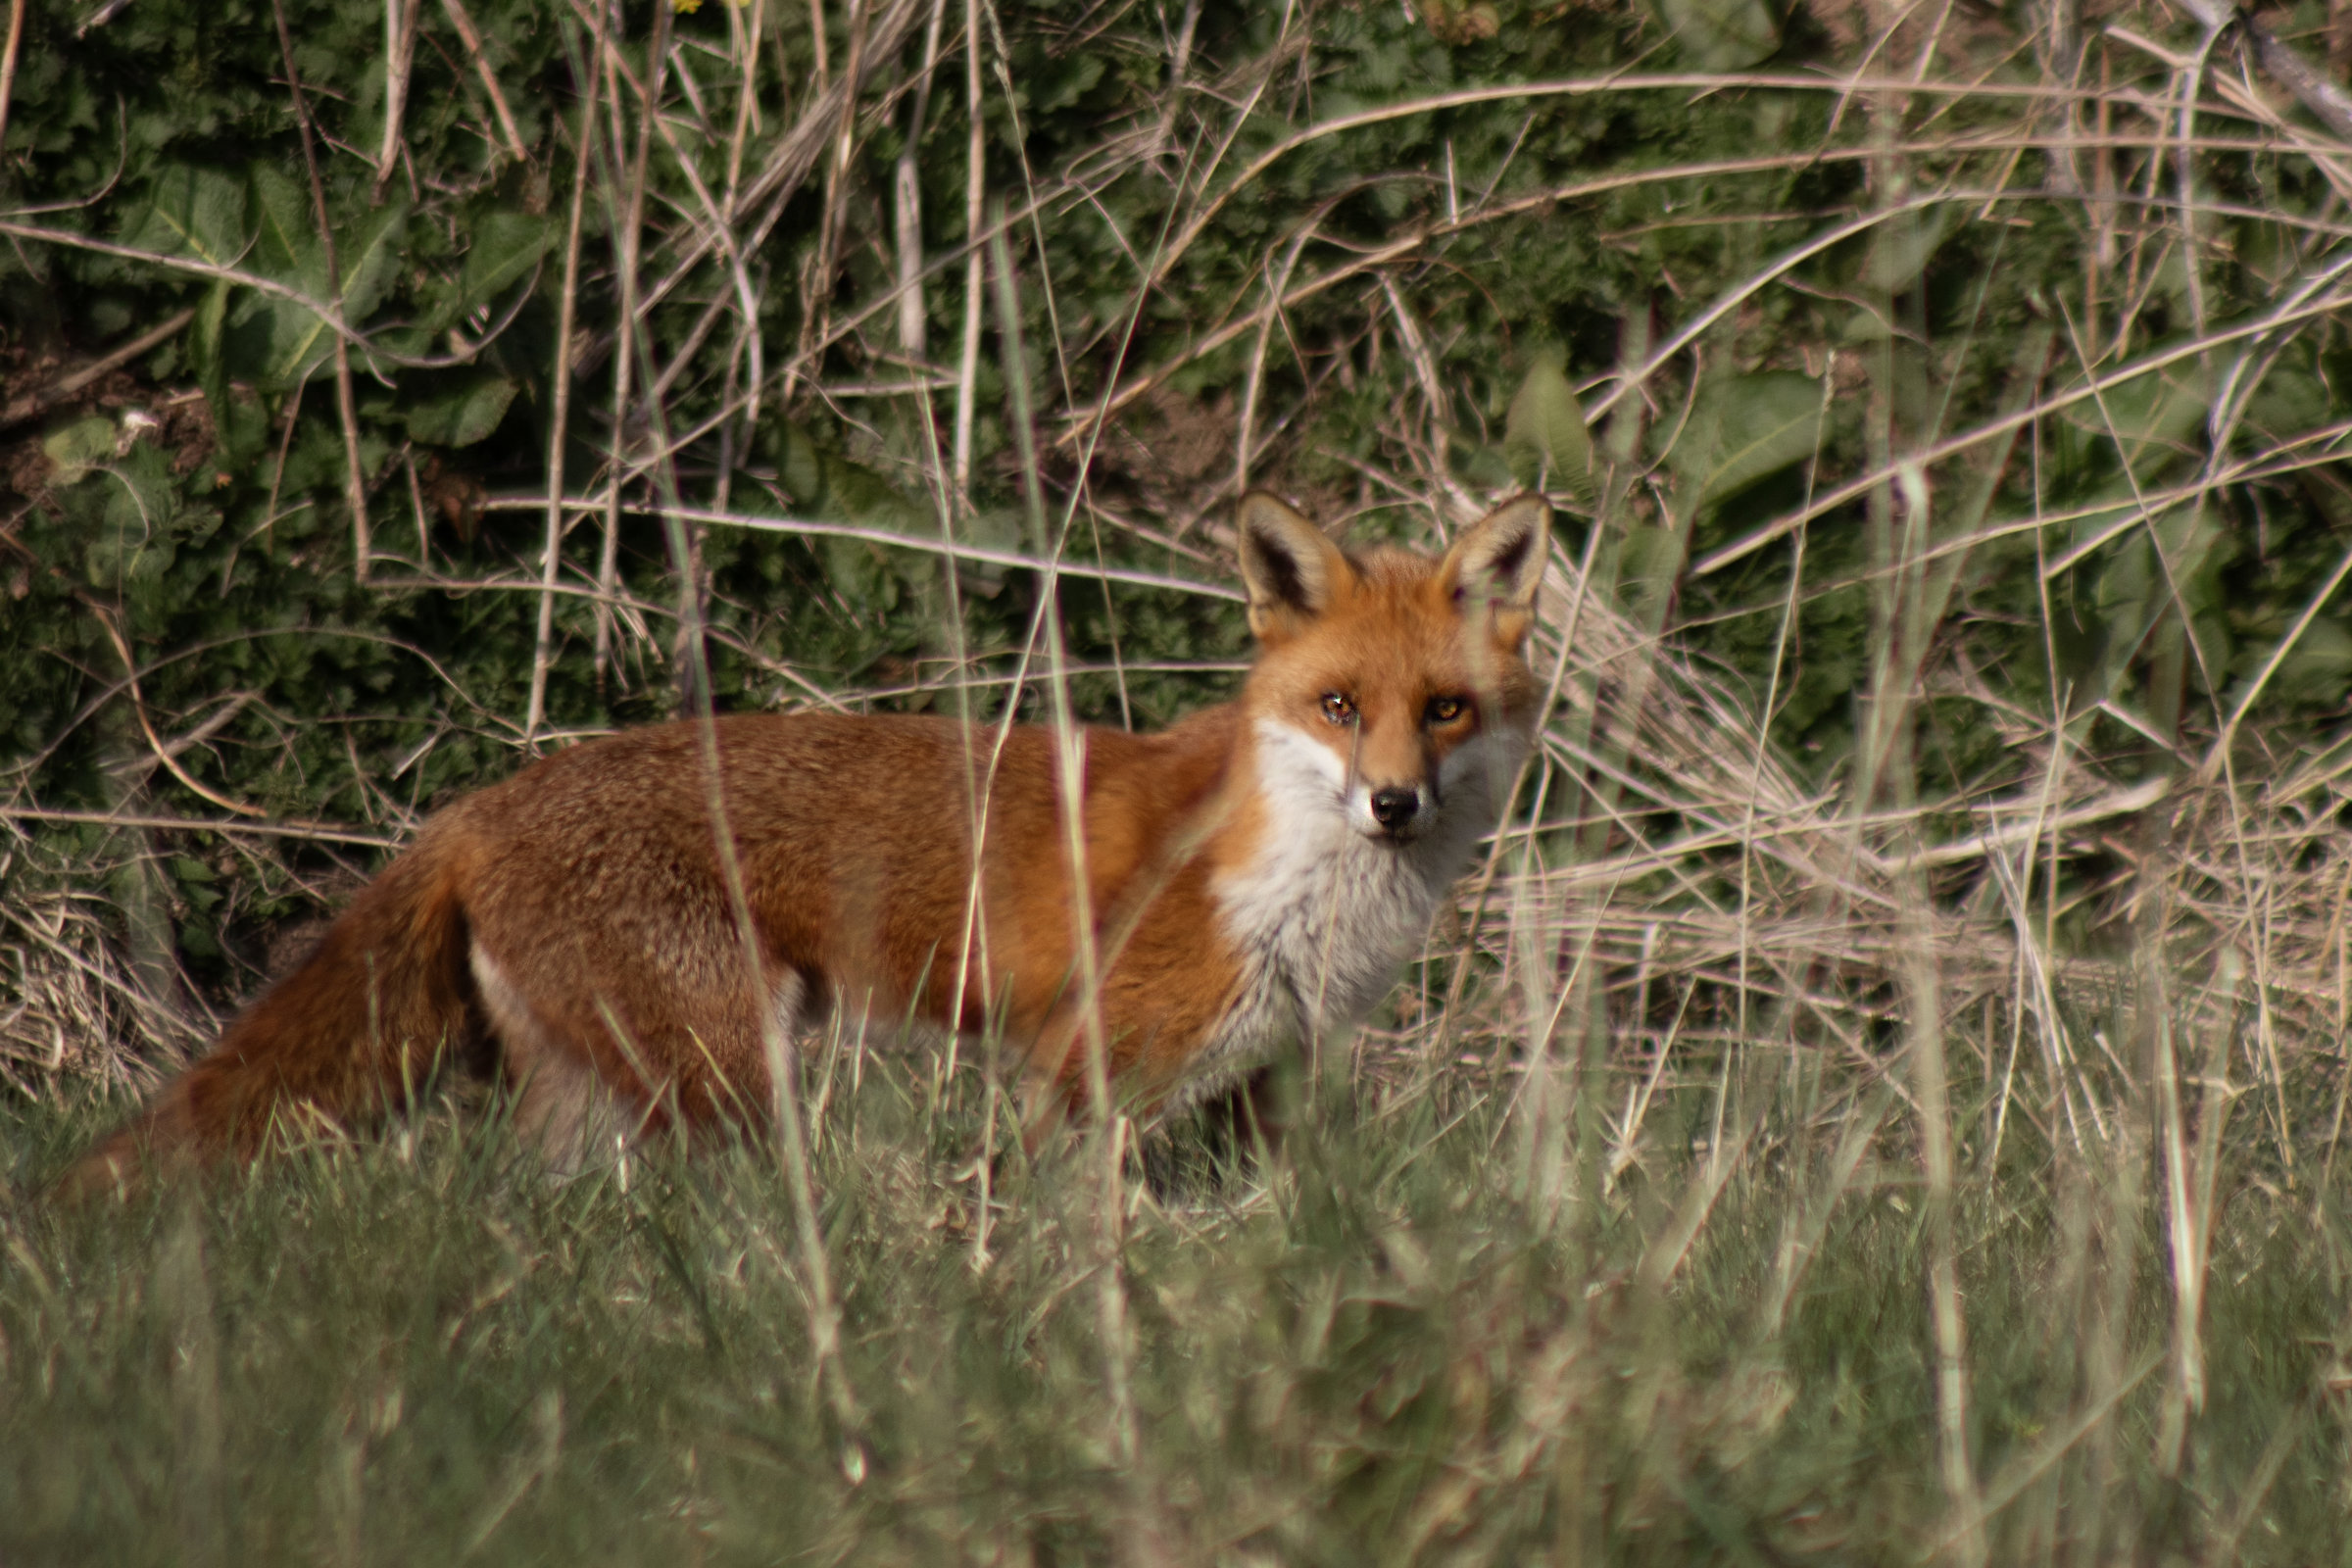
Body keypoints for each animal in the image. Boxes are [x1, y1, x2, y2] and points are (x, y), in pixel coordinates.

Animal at [54, 492, 1550, 1198]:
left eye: (1445, 710)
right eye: (1339, 706)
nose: (1395, 804)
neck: (1300, 896)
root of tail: (473, 805)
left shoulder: (1262, 1080)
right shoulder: (1082, 1064)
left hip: (600, 1097)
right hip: (733, 1067)